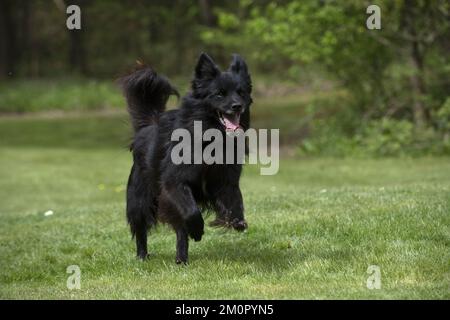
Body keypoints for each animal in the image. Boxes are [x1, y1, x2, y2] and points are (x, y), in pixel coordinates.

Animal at [121, 52, 251, 262]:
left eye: (241, 93)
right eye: (219, 93)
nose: (237, 106)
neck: (210, 139)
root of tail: (146, 128)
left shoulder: (225, 180)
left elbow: (235, 199)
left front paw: (237, 220)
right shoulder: (174, 182)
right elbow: (191, 211)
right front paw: (197, 230)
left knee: (180, 232)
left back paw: (181, 259)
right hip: (140, 199)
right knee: (142, 228)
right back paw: (143, 256)